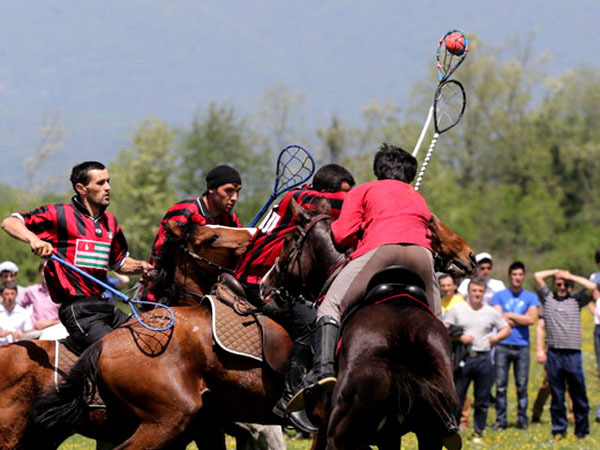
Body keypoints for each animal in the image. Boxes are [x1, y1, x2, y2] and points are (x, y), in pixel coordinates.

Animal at [260, 198, 477, 449]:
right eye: (431, 223)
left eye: (287, 241)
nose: (264, 286)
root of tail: (404, 340)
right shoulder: (389, 436)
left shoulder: (325, 429)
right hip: (428, 434)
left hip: (341, 434)